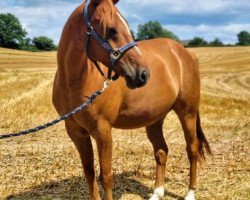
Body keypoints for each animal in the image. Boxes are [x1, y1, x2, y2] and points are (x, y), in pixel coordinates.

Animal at [52, 0, 211, 200]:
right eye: (111, 30)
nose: (143, 74)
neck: (74, 82)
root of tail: (186, 53)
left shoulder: (102, 130)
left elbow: (106, 176)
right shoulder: (76, 132)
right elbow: (89, 174)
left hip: (187, 112)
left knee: (192, 149)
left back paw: (190, 193)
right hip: (155, 119)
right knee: (161, 151)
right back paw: (157, 192)